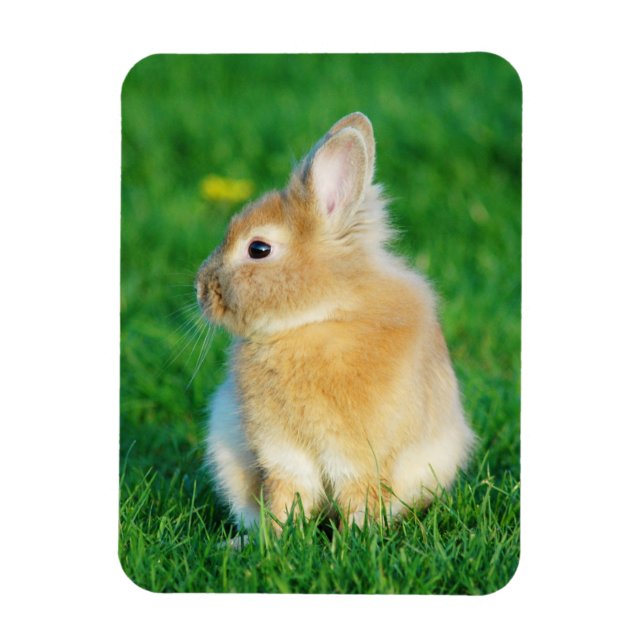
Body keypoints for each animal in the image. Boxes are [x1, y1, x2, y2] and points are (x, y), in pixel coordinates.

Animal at [196, 112, 475, 532]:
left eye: (258, 248)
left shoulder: (357, 455)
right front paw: (276, 538)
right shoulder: (282, 452)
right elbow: (287, 493)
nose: (200, 289)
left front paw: (356, 538)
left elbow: (357, 494)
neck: (315, 319)